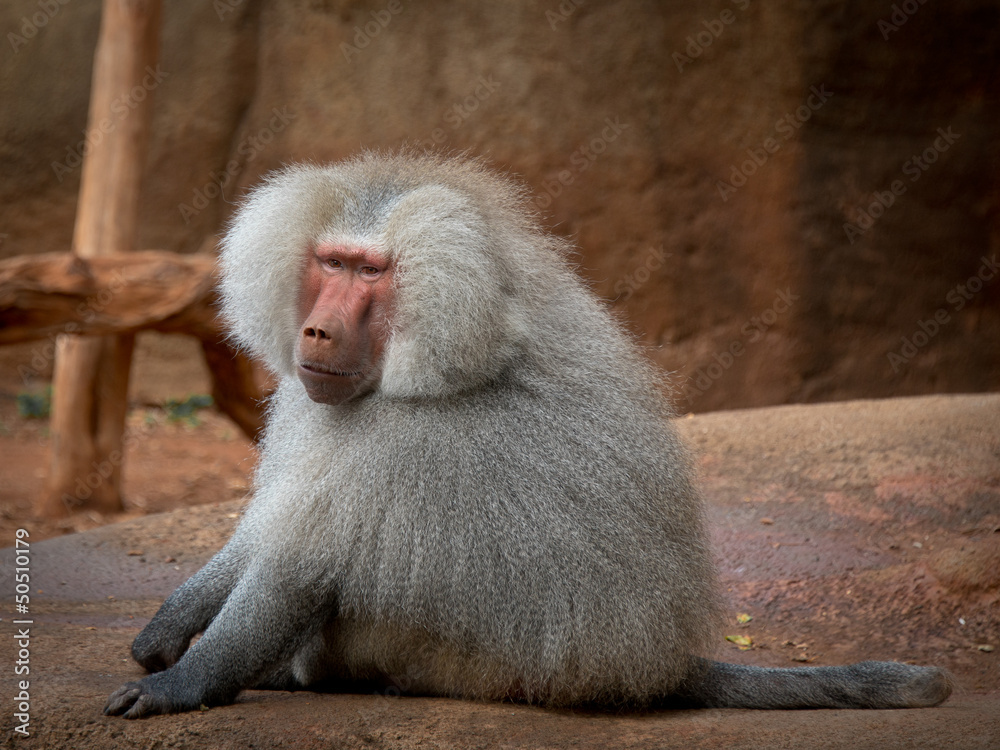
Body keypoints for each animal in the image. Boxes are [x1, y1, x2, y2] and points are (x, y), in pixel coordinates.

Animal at [105, 152, 952, 718]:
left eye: (372, 273)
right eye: (330, 262)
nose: (315, 331)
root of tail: (652, 667)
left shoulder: (403, 442)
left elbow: (301, 566)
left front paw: (182, 683)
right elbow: (268, 530)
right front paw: (167, 628)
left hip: (464, 662)